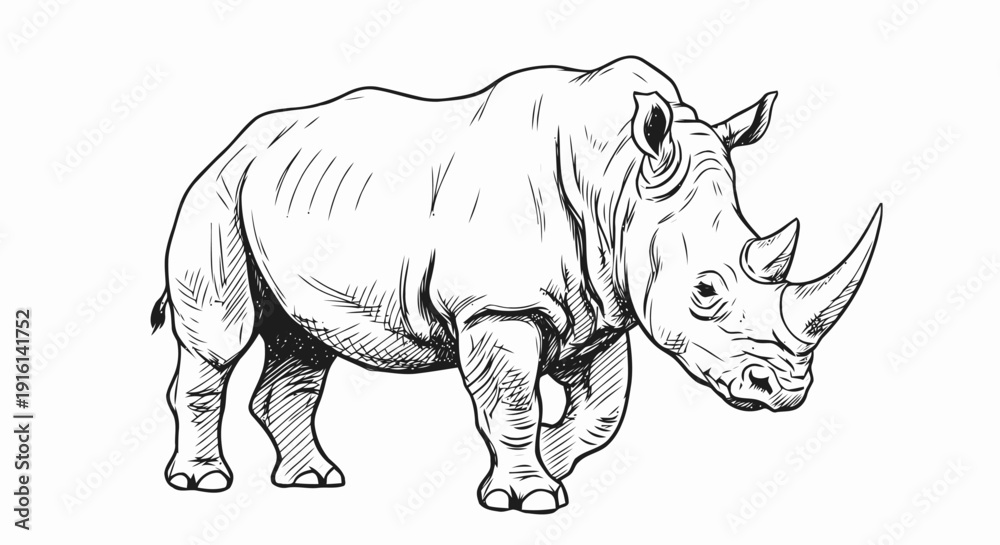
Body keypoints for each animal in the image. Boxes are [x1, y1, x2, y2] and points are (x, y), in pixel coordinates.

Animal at [152, 56, 881, 513]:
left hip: (281, 195)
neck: (618, 180)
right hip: (216, 192)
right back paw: (202, 482)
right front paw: (528, 496)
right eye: (706, 290)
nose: (784, 392)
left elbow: (601, 411)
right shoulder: (498, 307)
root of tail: (237, 141)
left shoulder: (601, 308)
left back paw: (312, 481)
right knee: (220, 339)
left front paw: (550, 466)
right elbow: (513, 402)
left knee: (300, 343)